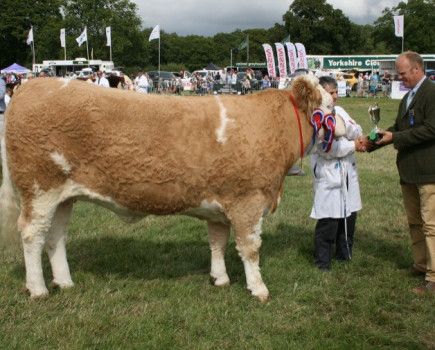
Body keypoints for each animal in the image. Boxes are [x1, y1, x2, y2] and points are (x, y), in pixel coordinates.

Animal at [0, 76, 334, 300]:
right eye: (329, 107)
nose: (341, 126)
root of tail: (30, 85)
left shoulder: (220, 205)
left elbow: (217, 242)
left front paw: (220, 279)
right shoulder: (248, 201)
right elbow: (250, 248)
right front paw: (259, 289)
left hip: (63, 196)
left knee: (55, 237)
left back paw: (65, 282)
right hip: (39, 188)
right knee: (32, 234)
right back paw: (38, 289)